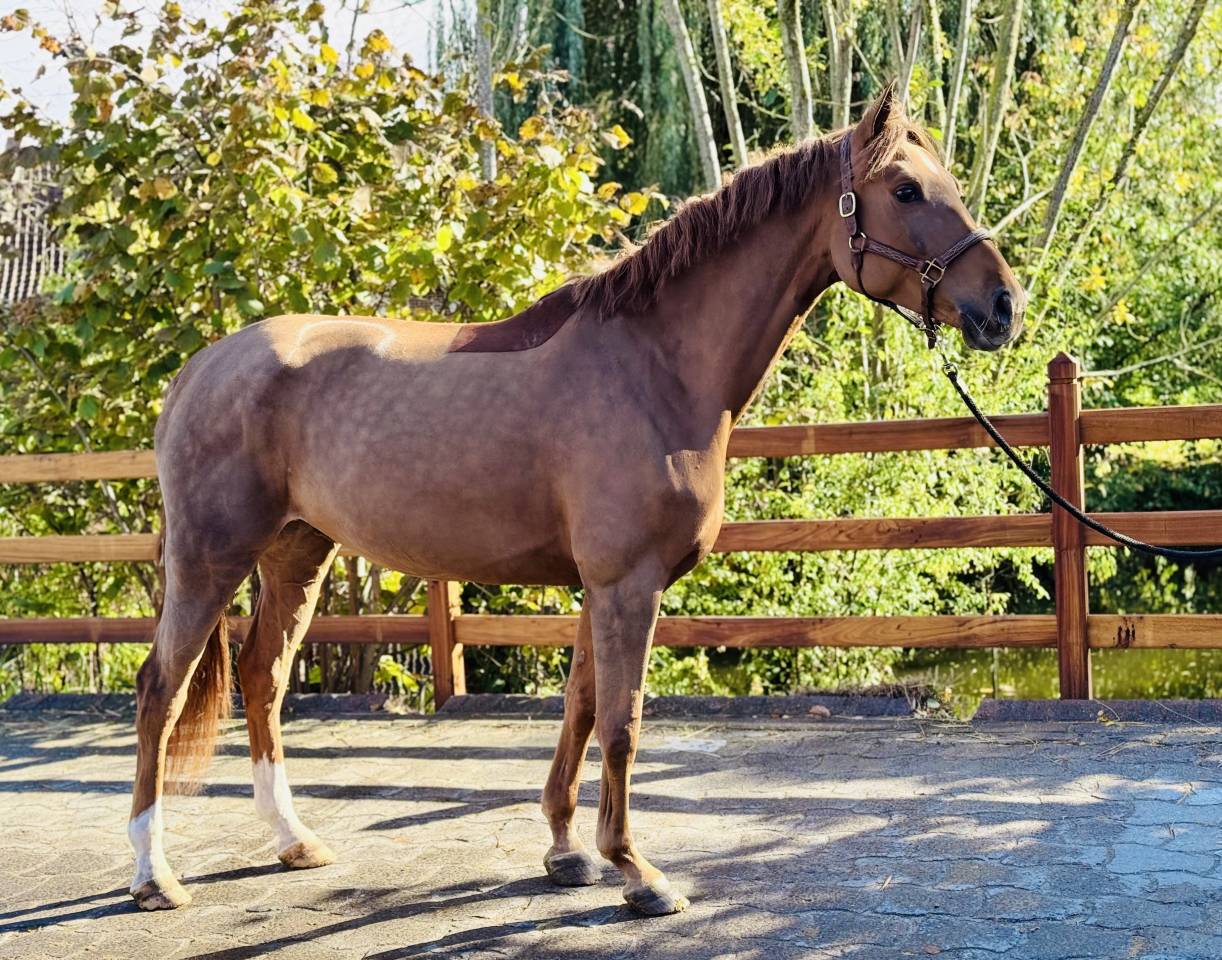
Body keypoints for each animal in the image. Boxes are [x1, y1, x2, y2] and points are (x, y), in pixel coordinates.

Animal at [128, 84, 1024, 915]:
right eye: (905, 189)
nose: (1003, 307)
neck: (655, 367)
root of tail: (198, 370)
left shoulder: (600, 586)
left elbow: (581, 706)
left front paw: (567, 851)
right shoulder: (628, 583)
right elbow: (623, 723)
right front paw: (638, 872)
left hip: (298, 554)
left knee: (262, 677)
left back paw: (292, 841)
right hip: (211, 559)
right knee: (161, 688)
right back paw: (153, 875)